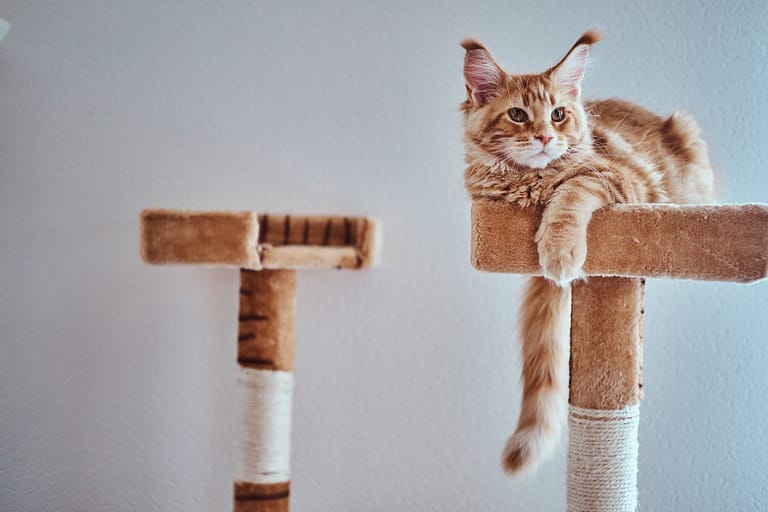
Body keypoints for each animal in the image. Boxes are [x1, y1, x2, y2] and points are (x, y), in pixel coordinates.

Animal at [460, 30, 716, 474]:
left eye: (558, 114)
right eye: (518, 115)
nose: (546, 137)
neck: (531, 182)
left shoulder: (617, 179)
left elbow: (570, 193)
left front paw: (559, 251)